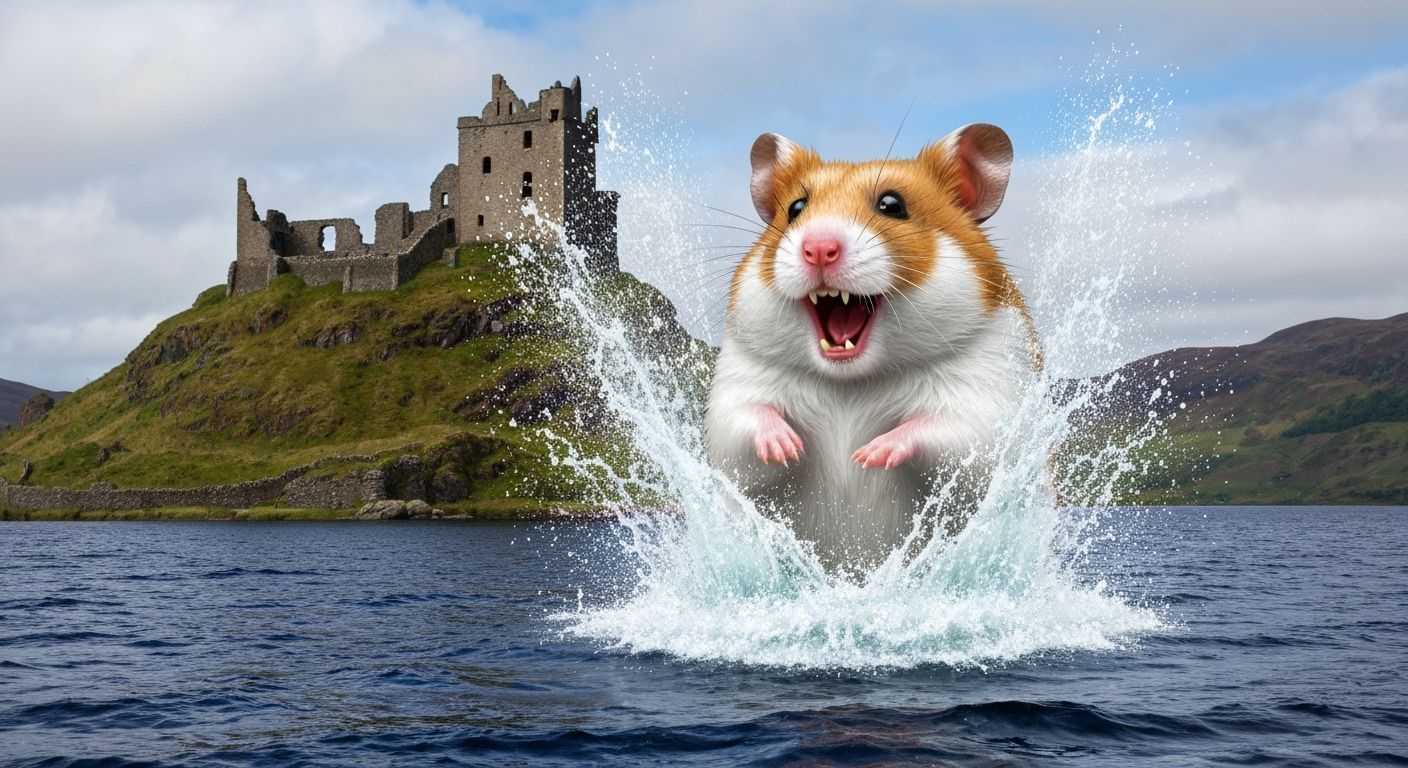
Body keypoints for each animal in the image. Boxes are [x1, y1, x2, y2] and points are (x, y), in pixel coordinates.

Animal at [704, 124, 1041, 574]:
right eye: (795, 208)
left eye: (892, 205)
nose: (818, 249)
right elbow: (744, 426)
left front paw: (869, 454)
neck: (849, 382)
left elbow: (949, 434)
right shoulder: (737, 387)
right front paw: (789, 445)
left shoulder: (987, 401)